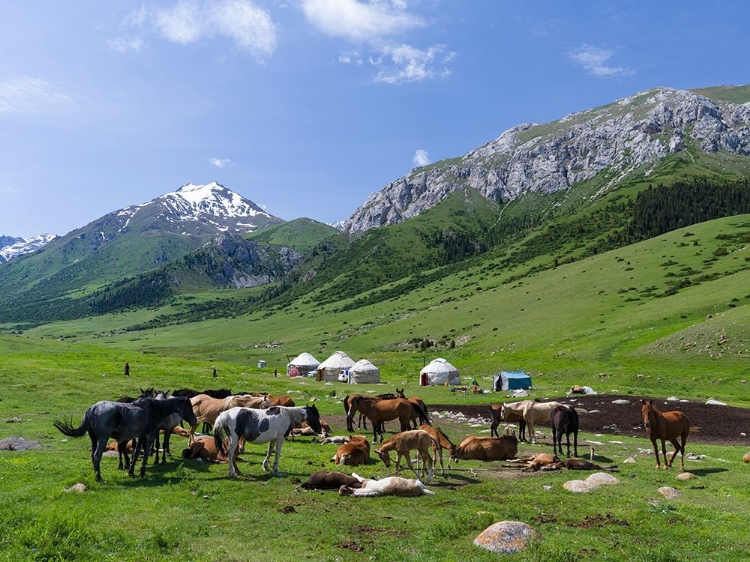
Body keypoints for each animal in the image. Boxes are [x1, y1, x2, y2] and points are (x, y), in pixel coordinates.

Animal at [55, 394, 197, 482]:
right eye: (189, 406)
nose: (195, 421)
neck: (154, 409)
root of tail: (92, 409)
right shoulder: (150, 436)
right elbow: (145, 454)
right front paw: (142, 472)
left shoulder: (140, 437)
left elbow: (135, 454)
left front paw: (131, 471)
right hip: (103, 438)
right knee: (97, 455)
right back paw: (99, 478)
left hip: (93, 438)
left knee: (92, 455)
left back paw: (96, 475)